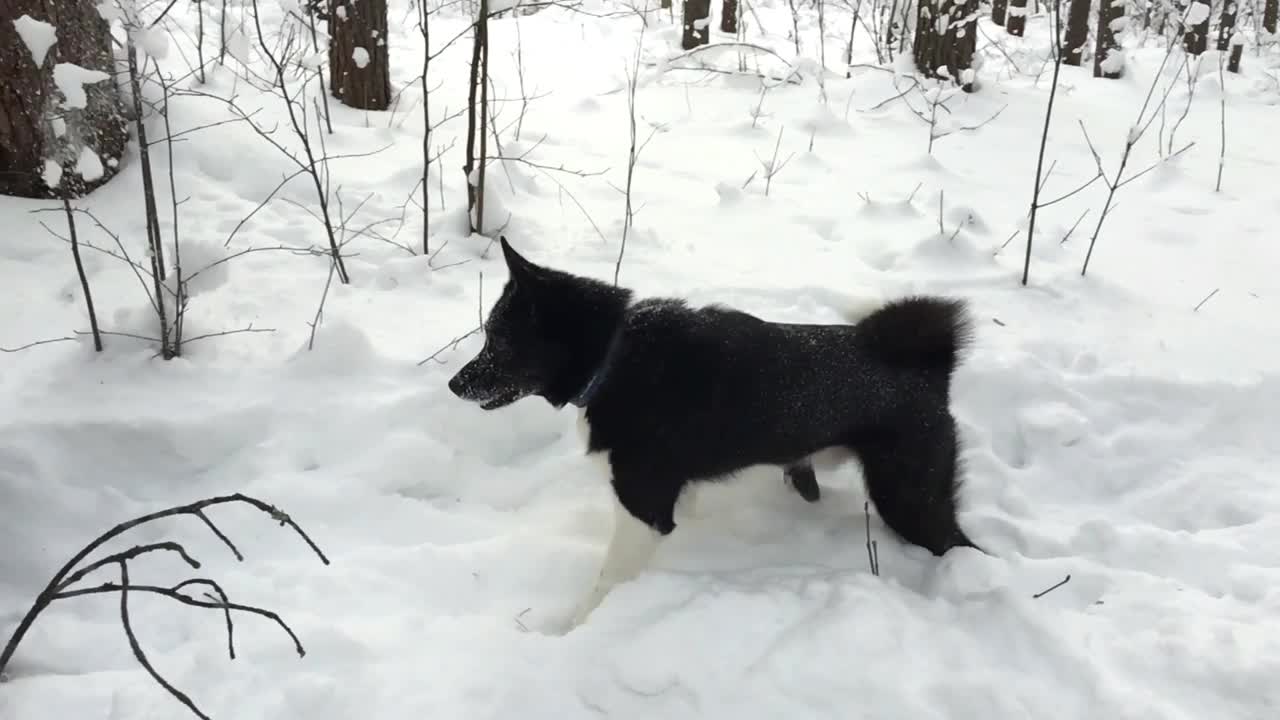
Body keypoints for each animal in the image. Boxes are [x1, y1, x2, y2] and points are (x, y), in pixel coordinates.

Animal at [448, 237, 977, 622]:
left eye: (498, 339)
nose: (454, 384)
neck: (614, 355)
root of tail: (929, 365)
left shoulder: (644, 511)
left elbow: (602, 586)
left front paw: (564, 630)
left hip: (909, 497)